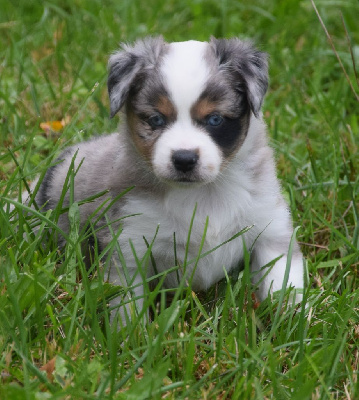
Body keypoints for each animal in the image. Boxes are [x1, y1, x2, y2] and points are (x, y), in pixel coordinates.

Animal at [34, 37, 304, 324]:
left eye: (215, 119)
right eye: (156, 119)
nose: (184, 159)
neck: (204, 194)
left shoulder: (271, 229)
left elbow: (285, 283)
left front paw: (294, 322)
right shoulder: (129, 246)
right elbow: (128, 308)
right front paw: (132, 334)